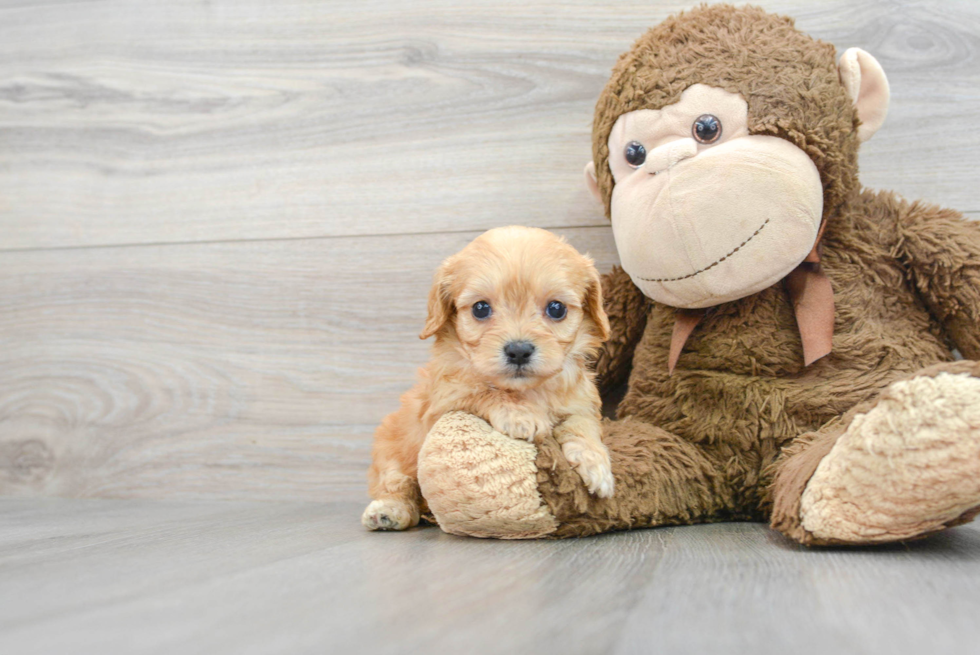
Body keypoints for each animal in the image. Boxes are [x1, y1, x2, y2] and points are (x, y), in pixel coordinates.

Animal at [364, 227, 616, 532]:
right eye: (480, 308)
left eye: (557, 309)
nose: (518, 350)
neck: (526, 391)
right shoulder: (442, 402)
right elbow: (482, 391)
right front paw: (520, 415)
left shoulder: (581, 402)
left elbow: (582, 425)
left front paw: (595, 463)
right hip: (389, 450)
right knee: (396, 484)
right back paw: (389, 511)